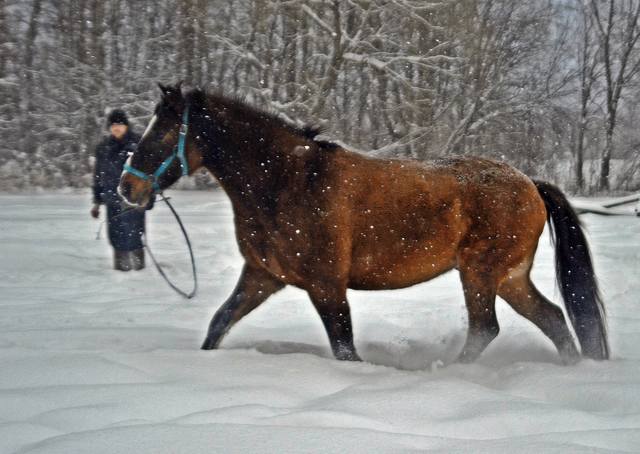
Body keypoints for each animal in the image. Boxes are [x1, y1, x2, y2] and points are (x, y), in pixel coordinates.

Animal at [119, 83, 608, 364]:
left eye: (164, 132)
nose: (127, 188)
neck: (288, 180)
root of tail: (529, 183)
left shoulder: (326, 285)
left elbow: (344, 347)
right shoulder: (262, 275)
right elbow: (219, 323)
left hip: (481, 274)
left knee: (486, 328)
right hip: (508, 278)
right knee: (554, 319)